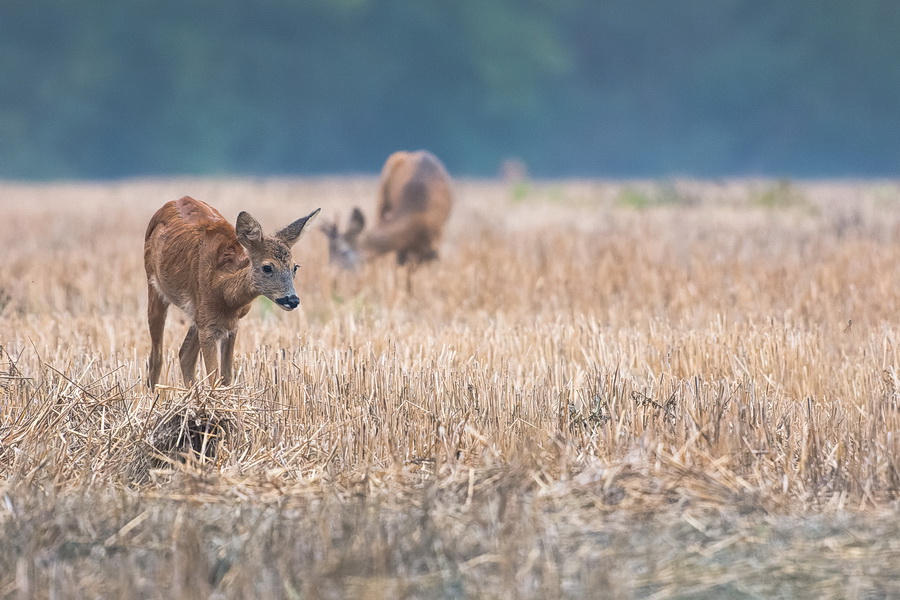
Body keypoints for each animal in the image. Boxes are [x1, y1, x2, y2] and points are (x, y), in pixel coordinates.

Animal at [144, 197, 320, 392]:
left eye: (295, 267)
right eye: (267, 267)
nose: (292, 299)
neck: (222, 289)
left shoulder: (230, 324)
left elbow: (226, 377)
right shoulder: (208, 325)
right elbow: (214, 378)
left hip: (198, 314)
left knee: (184, 355)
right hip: (154, 285)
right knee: (156, 356)